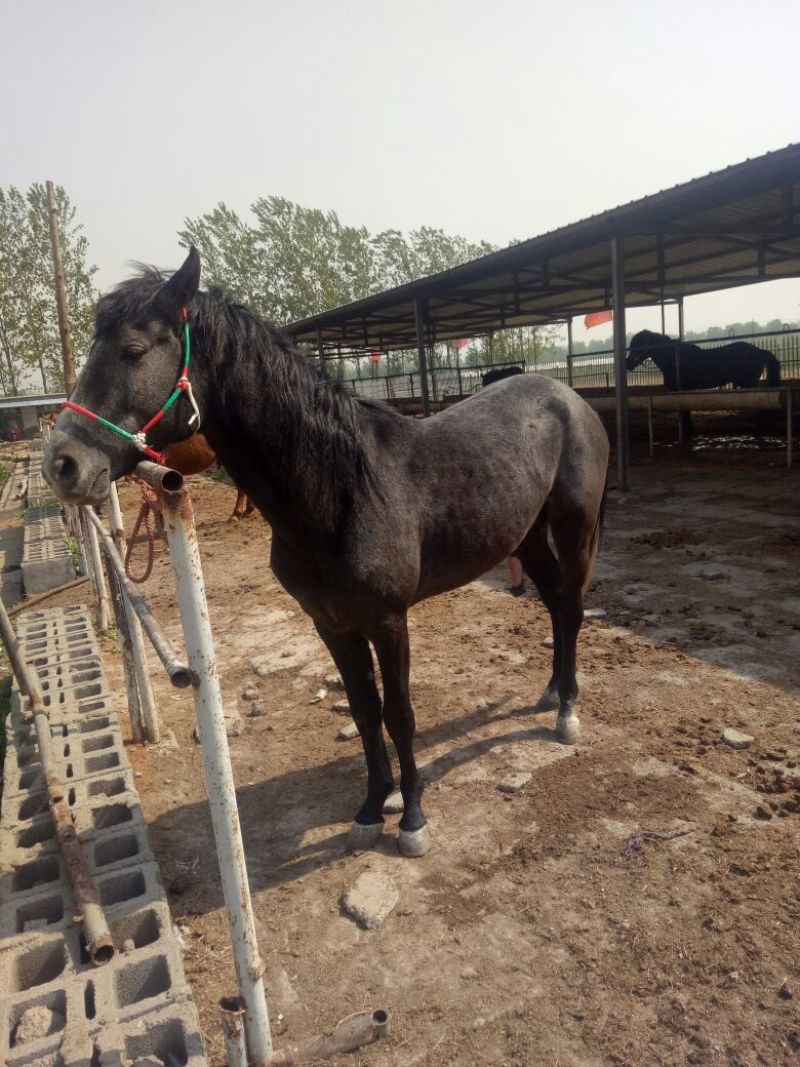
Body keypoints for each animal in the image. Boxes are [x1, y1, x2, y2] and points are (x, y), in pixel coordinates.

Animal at [43, 247, 610, 858]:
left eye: (133, 350)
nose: (62, 464)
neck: (341, 491)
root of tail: (568, 398)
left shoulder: (388, 621)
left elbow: (399, 715)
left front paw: (412, 819)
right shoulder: (330, 624)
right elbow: (364, 712)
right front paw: (371, 807)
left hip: (574, 529)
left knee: (571, 608)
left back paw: (567, 710)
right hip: (525, 535)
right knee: (553, 603)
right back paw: (551, 690)